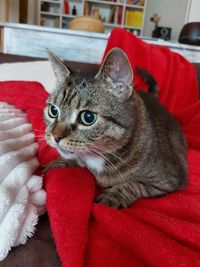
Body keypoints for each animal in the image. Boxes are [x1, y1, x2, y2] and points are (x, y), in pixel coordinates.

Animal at [43, 49, 188, 210]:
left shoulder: (168, 179)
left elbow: (134, 185)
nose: (55, 136)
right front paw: (55, 165)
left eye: (88, 117)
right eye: (53, 111)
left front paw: (112, 196)